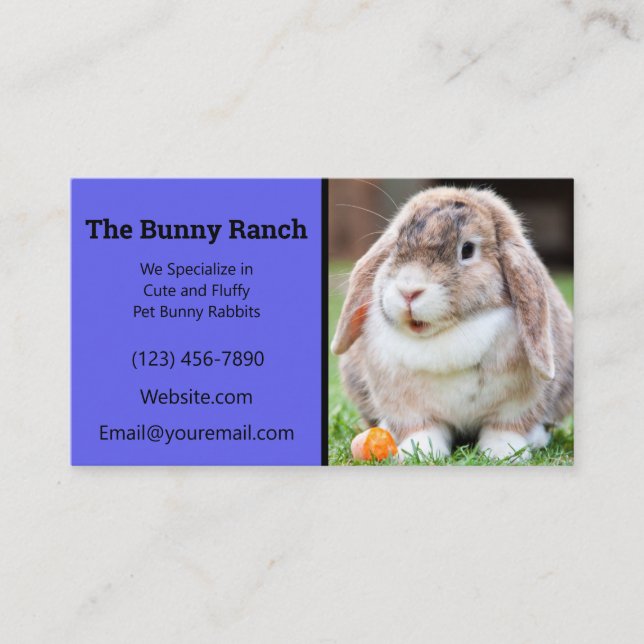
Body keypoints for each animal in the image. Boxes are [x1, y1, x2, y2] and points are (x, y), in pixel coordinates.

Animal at [331, 186, 573, 461]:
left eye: (467, 250)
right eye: (395, 246)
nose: (409, 291)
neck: (447, 333)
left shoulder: (516, 405)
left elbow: (503, 428)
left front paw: (503, 453)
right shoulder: (407, 407)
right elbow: (422, 429)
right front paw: (418, 452)